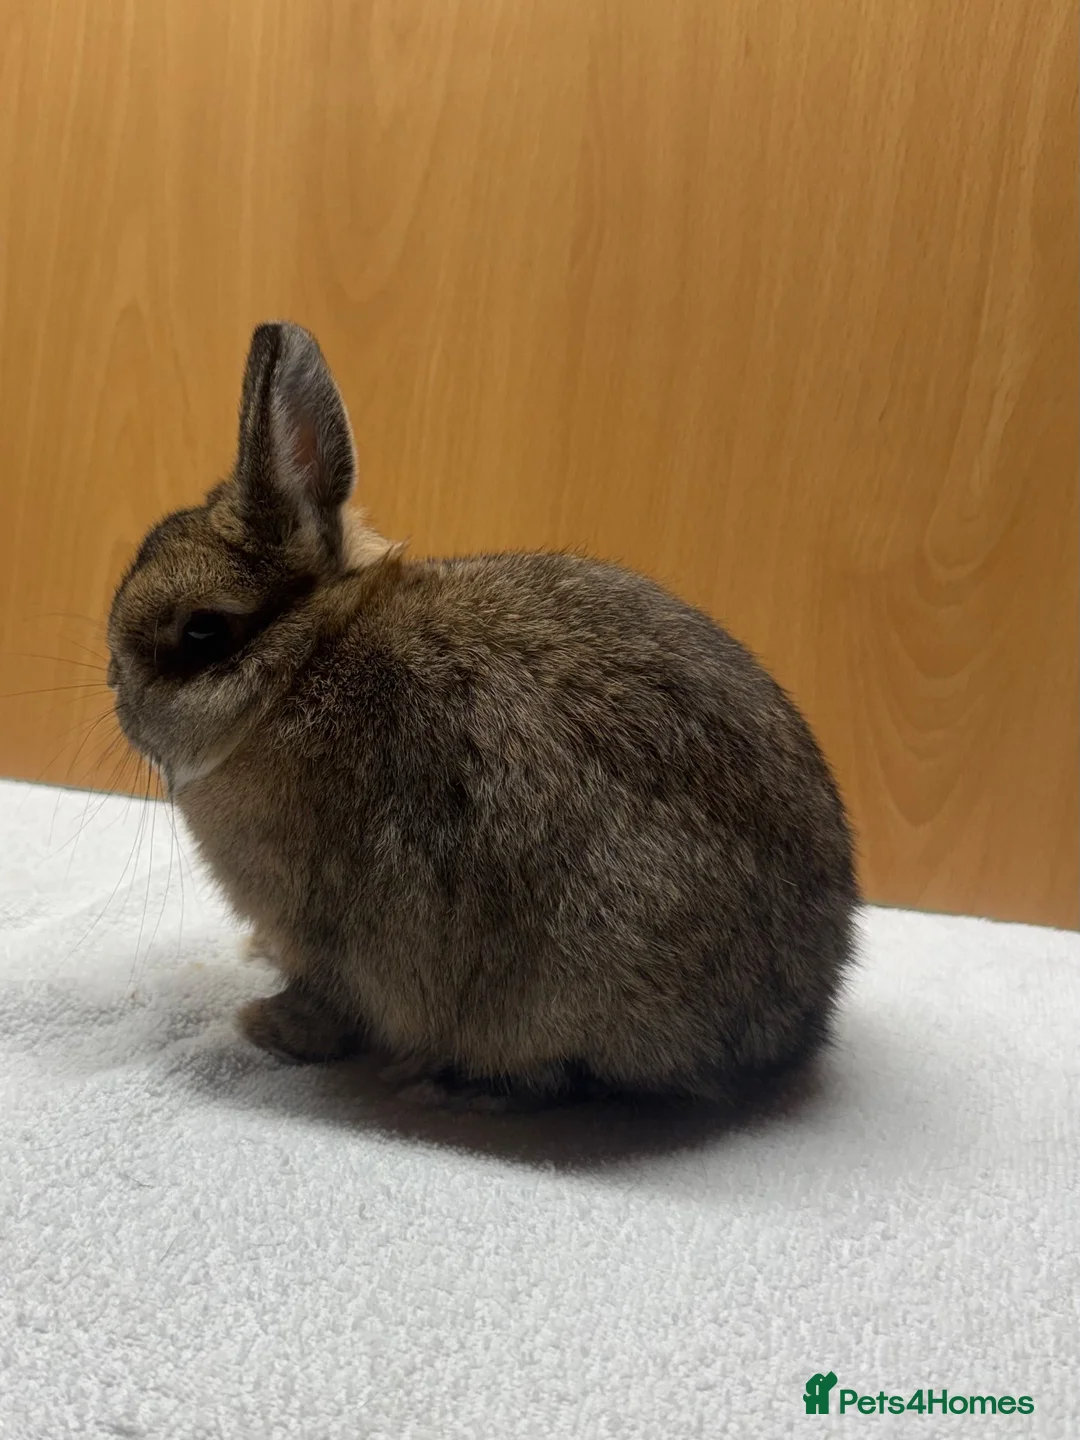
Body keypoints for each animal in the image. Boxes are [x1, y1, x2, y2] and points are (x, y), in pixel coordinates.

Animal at [106, 321, 859, 1111]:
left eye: (201, 632)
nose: (116, 692)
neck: (301, 661)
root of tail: (800, 1025)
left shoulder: (322, 928)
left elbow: (326, 1001)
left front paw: (263, 1025)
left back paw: (446, 1082)